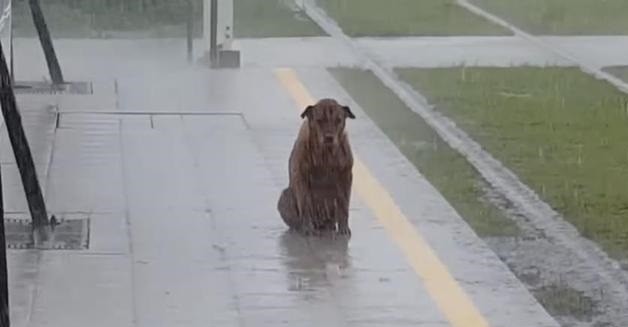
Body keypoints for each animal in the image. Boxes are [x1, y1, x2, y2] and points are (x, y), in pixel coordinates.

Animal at [278, 98, 356, 237]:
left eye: (338, 120)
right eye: (319, 120)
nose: (329, 137)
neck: (326, 154)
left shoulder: (346, 176)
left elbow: (344, 204)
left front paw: (344, 228)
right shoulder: (301, 176)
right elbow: (305, 204)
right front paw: (307, 228)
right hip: (284, 197)